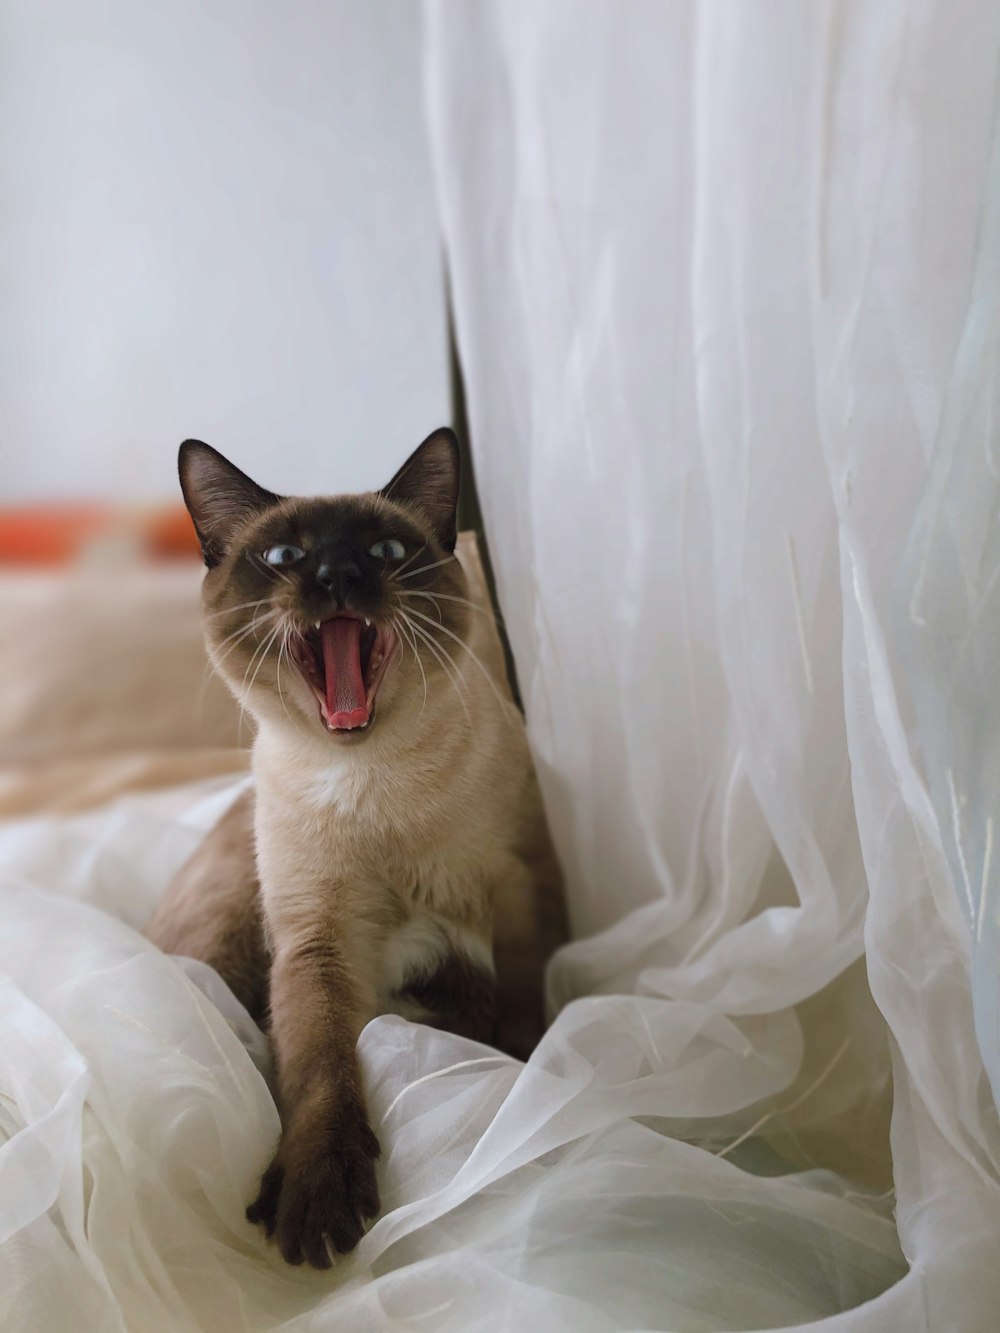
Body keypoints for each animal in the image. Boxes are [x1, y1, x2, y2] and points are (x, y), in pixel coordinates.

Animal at [150, 429, 570, 1269]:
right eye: (284, 555)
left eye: (384, 550)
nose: (338, 576)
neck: (372, 781)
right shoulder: (319, 941)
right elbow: (321, 1071)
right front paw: (317, 1208)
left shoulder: (521, 896)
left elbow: (521, 1017)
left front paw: (514, 1088)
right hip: (228, 938)